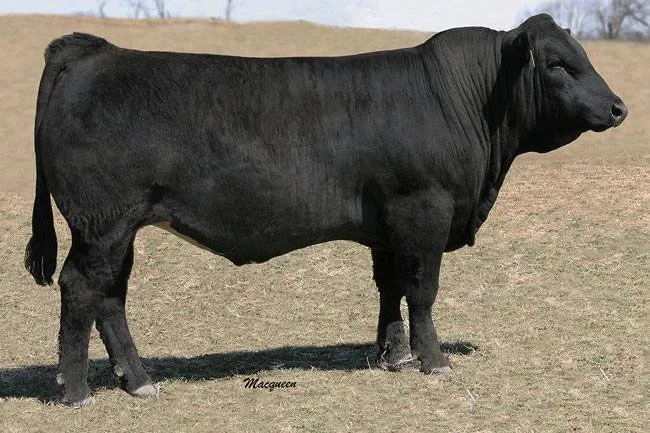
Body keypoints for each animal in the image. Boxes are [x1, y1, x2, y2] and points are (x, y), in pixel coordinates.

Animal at [24, 14, 626, 406]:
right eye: (558, 64)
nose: (619, 107)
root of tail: (95, 50)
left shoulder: (387, 224)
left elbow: (390, 287)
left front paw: (393, 355)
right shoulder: (423, 208)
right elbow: (422, 289)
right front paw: (433, 361)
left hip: (120, 228)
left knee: (110, 297)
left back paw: (138, 380)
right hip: (101, 224)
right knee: (81, 288)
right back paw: (77, 391)